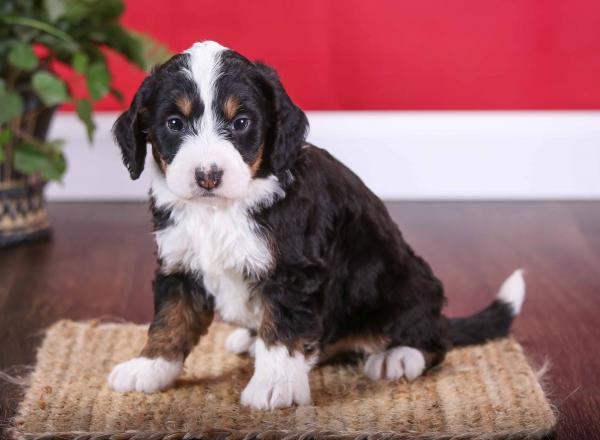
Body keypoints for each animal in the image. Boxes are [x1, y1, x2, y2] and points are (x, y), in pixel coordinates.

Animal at [106, 40, 524, 410]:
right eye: (175, 123)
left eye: (241, 122)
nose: (208, 175)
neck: (221, 211)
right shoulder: (179, 263)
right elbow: (170, 319)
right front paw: (150, 367)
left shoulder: (292, 271)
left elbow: (282, 330)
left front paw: (274, 386)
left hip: (404, 284)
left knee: (435, 337)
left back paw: (399, 356)